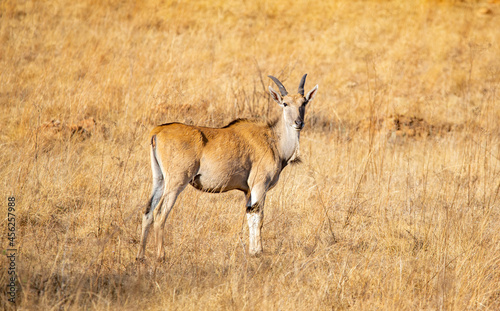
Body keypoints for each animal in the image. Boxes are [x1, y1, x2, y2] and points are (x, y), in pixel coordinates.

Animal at [137, 73, 316, 260]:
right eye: (285, 103)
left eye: (304, 103)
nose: (298, 122)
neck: (273, 139)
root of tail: (157, 131)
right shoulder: (260, 185)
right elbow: (259, 217)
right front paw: (258, 251)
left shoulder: (248, 191)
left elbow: (250, 216)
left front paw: (252, 251)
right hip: (176, 182)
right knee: (160, 213)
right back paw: (161, 256)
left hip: (159, 180)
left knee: (147, 211)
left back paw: (140, 256)